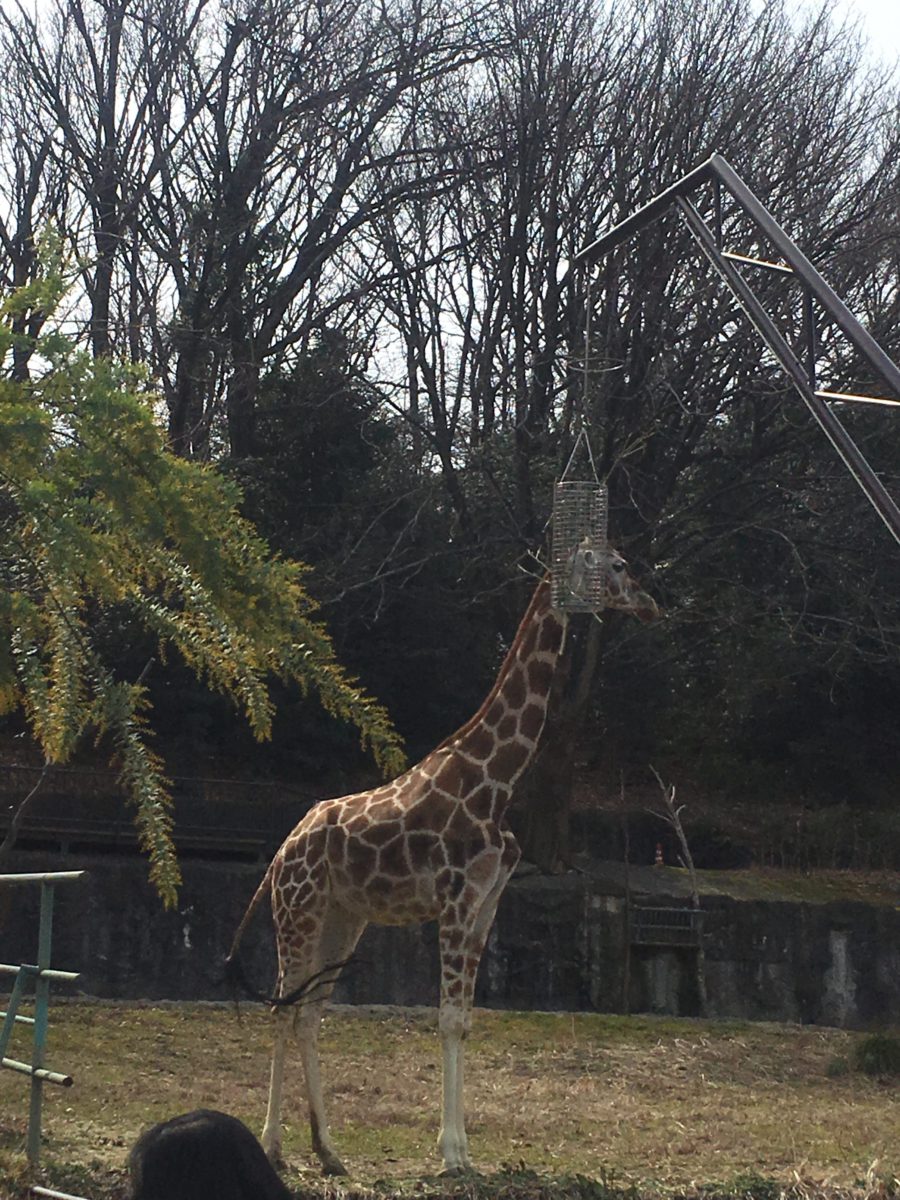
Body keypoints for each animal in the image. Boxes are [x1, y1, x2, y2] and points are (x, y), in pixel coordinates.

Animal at [229, 549, 657, 1176]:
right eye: (619, 564)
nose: (649, 603)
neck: (498, 780)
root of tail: (281, 852)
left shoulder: (485, 904)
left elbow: (465, 1019)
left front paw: (462, 1150)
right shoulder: (454, 900)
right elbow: (448, 1019)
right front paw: (452, 1152)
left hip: (342, 920)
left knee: (308, 1013)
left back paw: (328, 1150)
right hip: (298, 912)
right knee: (284, 1009)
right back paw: (271, 1146)